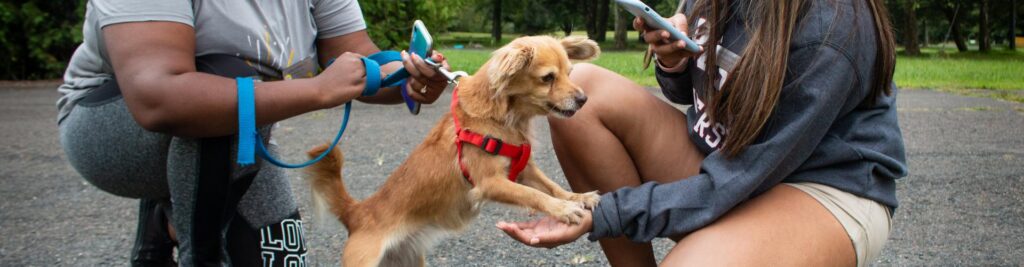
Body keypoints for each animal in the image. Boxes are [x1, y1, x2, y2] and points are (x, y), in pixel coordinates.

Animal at [307, 35, 602, 265]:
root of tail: (358, 213)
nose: (584, 99)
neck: (502, 118)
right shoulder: (490, 183)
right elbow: (533, 195)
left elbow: (551, 186)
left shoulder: (523, 170)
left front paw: (578, 197)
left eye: (569, 73)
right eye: (547, 78)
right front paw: (563, 209)